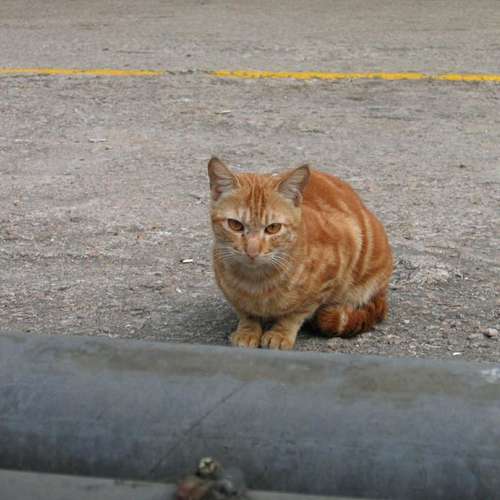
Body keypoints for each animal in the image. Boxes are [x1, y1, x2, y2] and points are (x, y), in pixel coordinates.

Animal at [208, 157, 393, 350]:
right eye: (235, 225)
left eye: (273, 228)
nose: (252, 250)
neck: (256, 282)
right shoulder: (229, 290)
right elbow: (245, 312)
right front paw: (247, 330)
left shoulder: (329, 277)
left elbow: (295, 314)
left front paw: (281, 333)